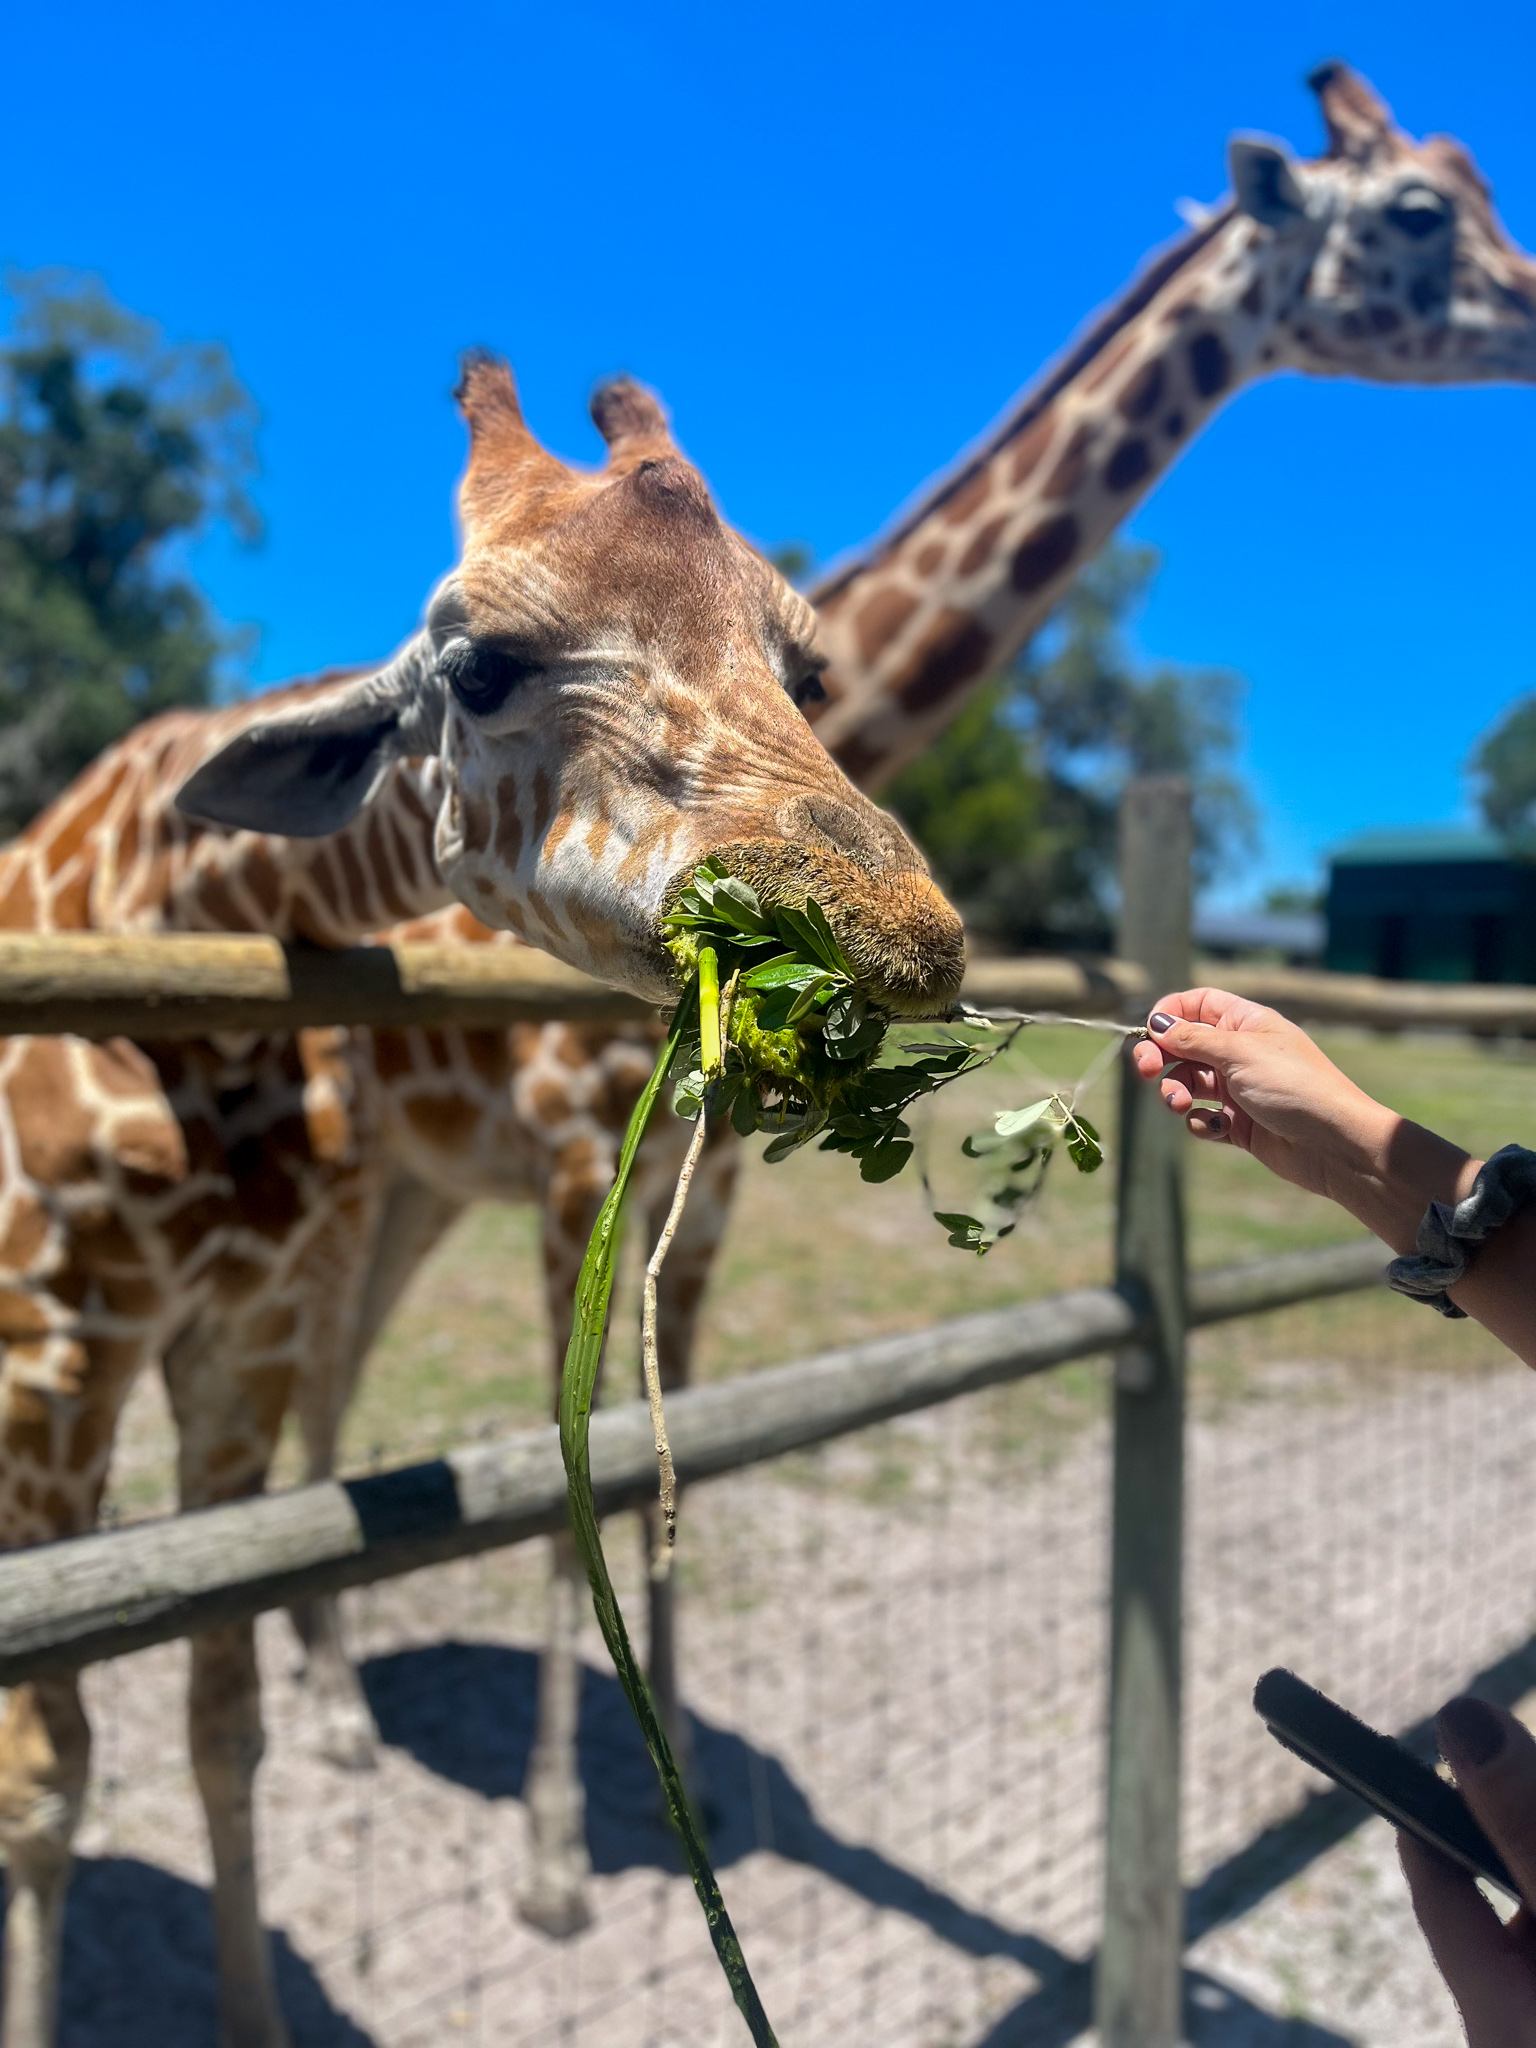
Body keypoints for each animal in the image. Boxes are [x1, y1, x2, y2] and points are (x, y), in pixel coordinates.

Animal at [0, 360, 962, 2048]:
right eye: (485, 664)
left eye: (805, 670)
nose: (902, 932)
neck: (176, 951)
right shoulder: (48, 1356)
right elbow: (47, 1778)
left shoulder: (239, 1339)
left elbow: (219, 1711)